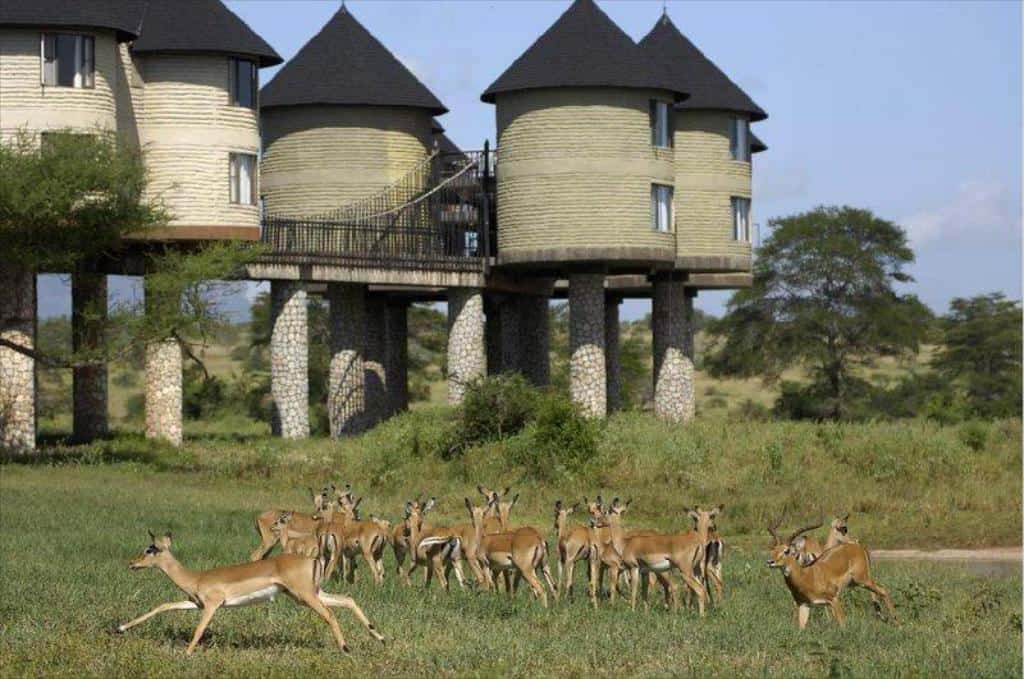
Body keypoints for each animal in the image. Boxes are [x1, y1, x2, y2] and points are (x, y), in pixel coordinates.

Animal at [118, 531, 385, 655]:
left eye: (150, 549)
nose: (131, 563)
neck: (196, 578)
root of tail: (313, 560)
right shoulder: (195, 603)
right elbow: (162, 606)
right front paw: (120, 627)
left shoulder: (212, 606)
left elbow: (199, 629)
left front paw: (186, 653)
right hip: (310, 594)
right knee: (347, 599)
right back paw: (379, 637)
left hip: (306, 597)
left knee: (330, 613)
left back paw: (346, 648)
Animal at [766, 521, 896, 629]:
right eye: (773, 549)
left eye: (787, 551)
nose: (770, 561)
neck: (807, 576)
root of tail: (858, 546)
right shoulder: (804, 605)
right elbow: (801, 628)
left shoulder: (834, 599)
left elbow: (843, 624)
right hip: (857, 582)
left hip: (863, 579)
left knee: (883, 590)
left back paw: (898, 625)